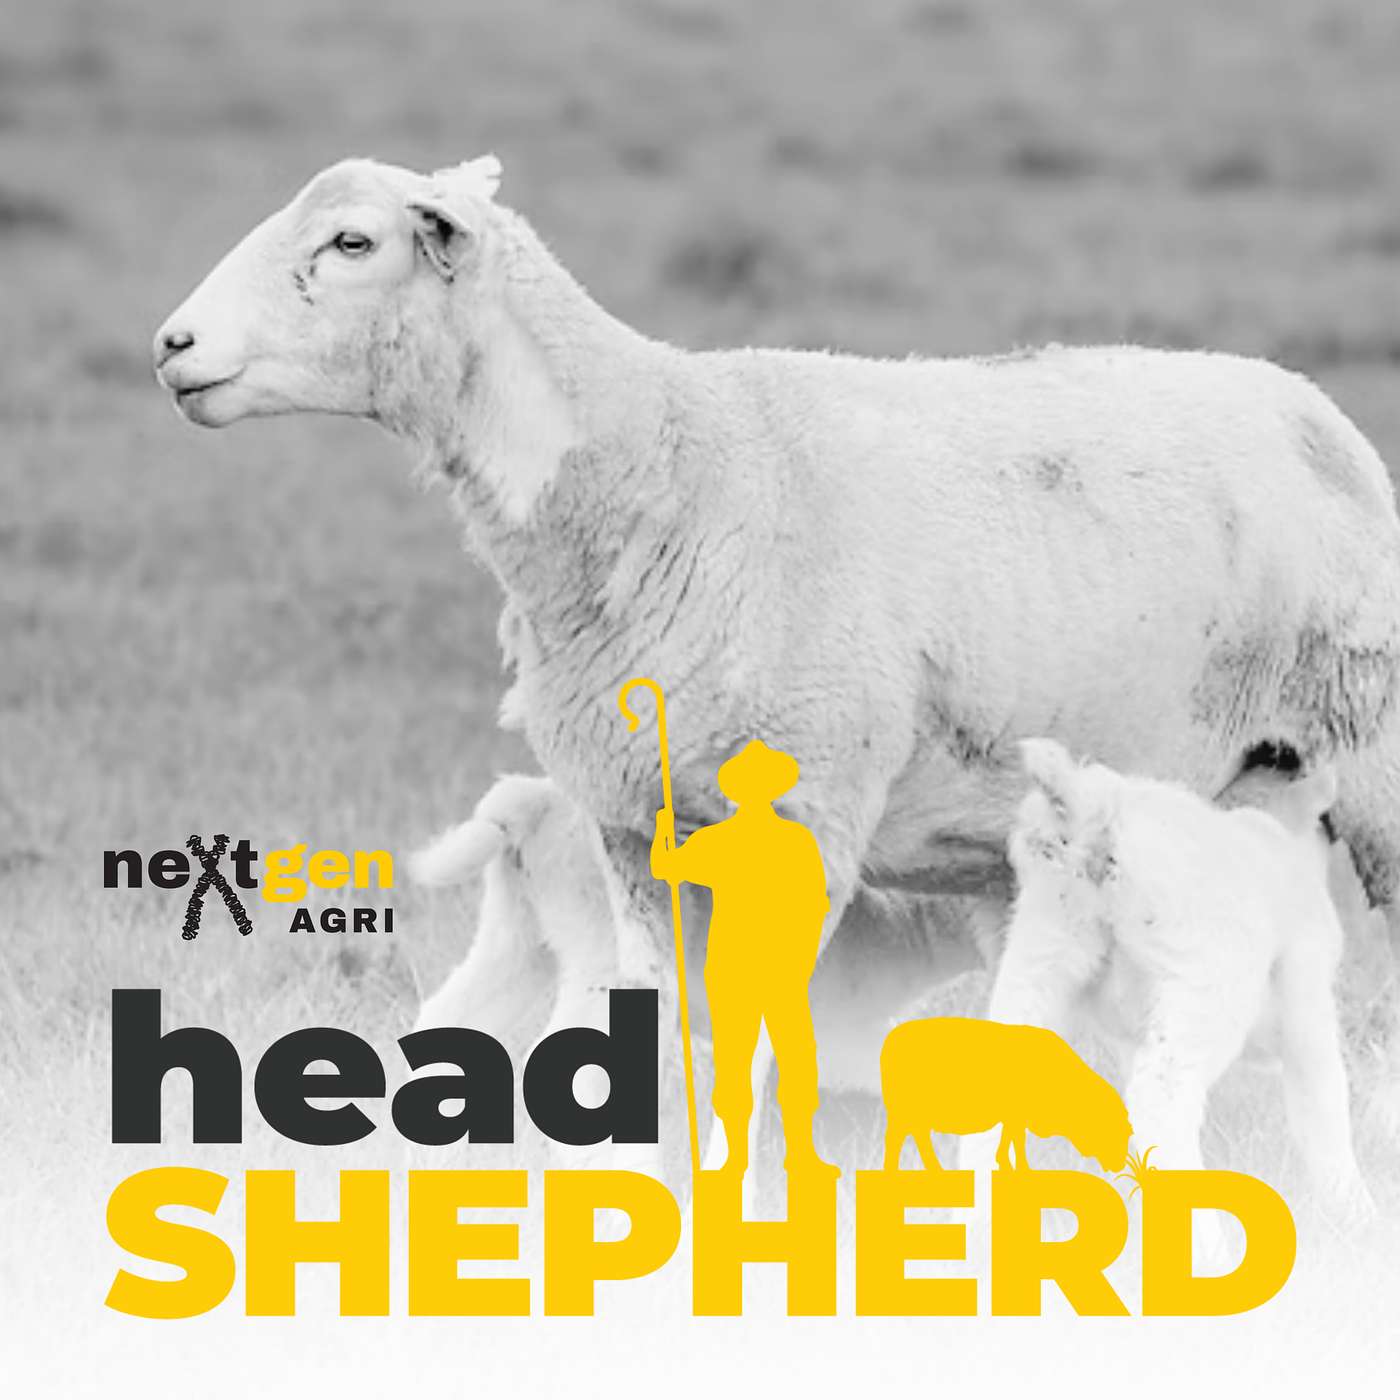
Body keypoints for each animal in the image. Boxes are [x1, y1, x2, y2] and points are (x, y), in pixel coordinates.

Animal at [153, 153, 1400, 1144]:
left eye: (351, 242)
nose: (172, 344)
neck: (666, 464)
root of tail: (1305, 404)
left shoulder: (808, 820)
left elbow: (756, 1054)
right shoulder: (635, 830)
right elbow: (665, 1041)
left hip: (1374, 759)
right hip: (1221, 798)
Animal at [879, 1015, 1132, 1174]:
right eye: (1115, 1130)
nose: (1120, 1165)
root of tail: (891, 1039)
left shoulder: (1014, 1118)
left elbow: (1009, 1140)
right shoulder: (1017, 1116)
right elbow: (1017, 1142)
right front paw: (1022, 1167)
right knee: (899, 1139)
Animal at [987, 738, 1373, 1218]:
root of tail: (1094, 810)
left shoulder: (1132, 1033)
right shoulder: (1307, 996)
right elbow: (1322, 1106)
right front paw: (1358, 1210)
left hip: (1038, 956)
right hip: (1205, 982)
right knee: (1161, 1104)